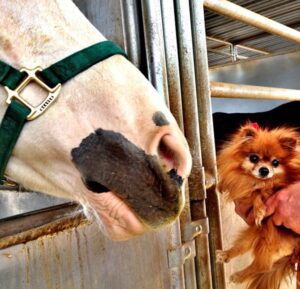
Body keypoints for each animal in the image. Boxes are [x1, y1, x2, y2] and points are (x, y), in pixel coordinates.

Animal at [217, 122, 298, 288]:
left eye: (275, 162)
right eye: (254, 158)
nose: (264, 170)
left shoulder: (271, 191)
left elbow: (257, 193)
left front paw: (259, 211)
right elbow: (238, 184)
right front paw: (221, 185)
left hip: (268, 242)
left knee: (262, 267)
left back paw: (238, 276)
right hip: (254, 235)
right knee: (241, 248)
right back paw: (225, 255)